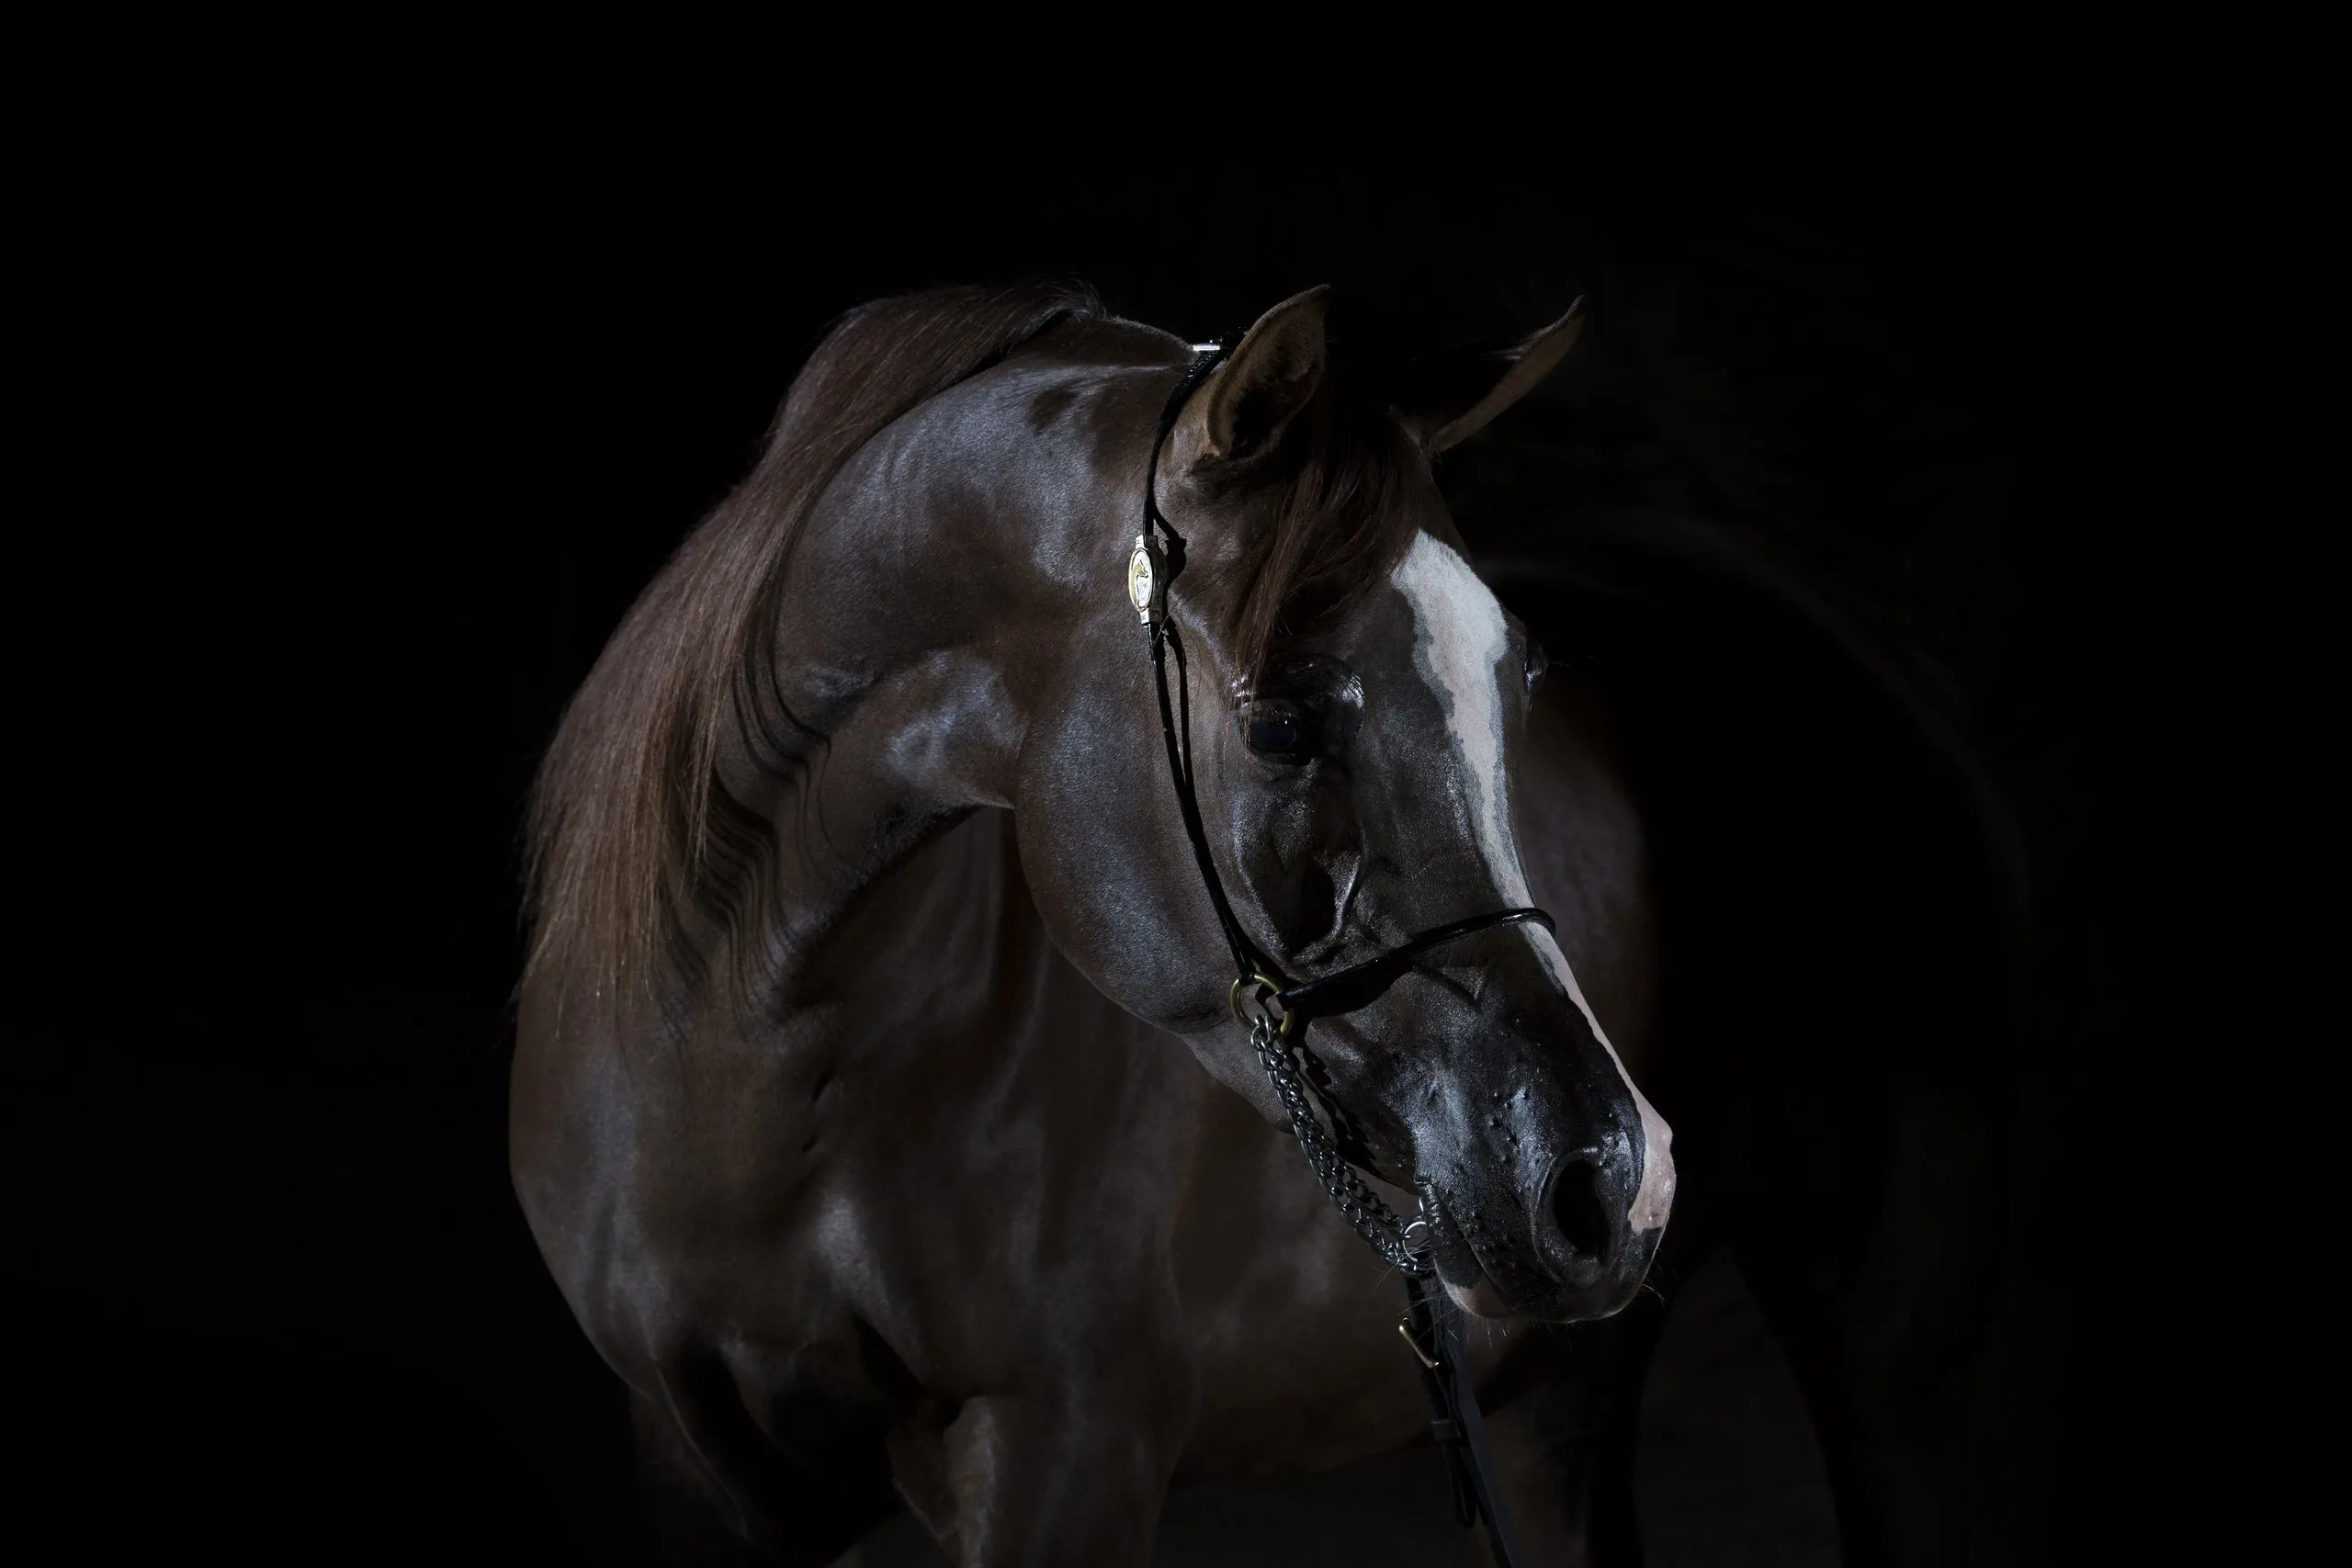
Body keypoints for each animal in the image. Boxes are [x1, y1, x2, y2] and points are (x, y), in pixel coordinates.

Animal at [514, 280, 2019, 1565]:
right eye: (1281, 723)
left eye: (1519, 689)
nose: (1613, 1174)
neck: (758, 1065)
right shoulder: (700, 1474)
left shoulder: (1070, 1450)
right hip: (1561, 1397)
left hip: (1900, 1374)